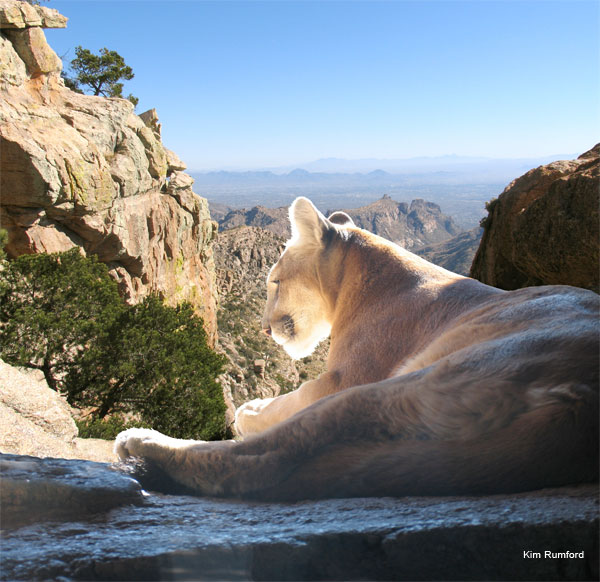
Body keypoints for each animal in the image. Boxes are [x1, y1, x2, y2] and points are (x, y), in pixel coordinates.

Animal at [115, 198, 596, 504]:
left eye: (274, 281)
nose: (265, 329)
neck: (360, 279)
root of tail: (580, 407)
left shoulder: (344, 377)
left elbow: (287, 402)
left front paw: (249, 410)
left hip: (414, 381)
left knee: (265, 460)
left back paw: (141, 441)